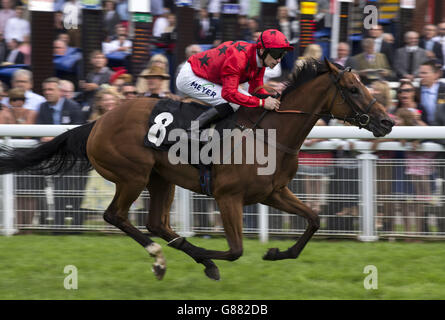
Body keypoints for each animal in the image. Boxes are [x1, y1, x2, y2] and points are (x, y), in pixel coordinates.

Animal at [0, 58, 392, 280]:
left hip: (161, 179)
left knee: (156, 223)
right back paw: (162, 259)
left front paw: (276, 253)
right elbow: (235, 250)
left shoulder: (273, 192)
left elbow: (313, 219)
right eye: (353, 89)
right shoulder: (228, 196)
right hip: (132, 175)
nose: (387, 122)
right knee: (116, 216)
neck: (272, 134)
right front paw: (209, 257)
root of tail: (97, 121)